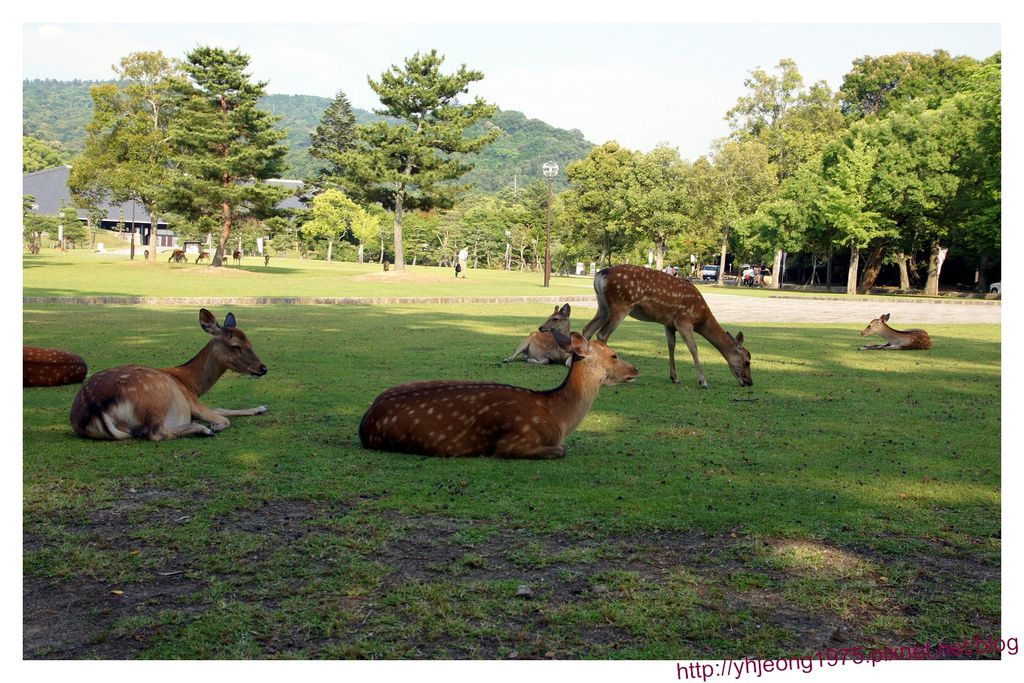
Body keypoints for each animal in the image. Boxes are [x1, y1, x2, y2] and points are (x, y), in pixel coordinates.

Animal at [68, 307, 268, 440]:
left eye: (250, 342)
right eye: (236, 346)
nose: (263, 368)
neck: (189, 384)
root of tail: (95, 408)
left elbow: (220, 408)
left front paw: (262, 407)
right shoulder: (192, 402)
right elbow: (223, 418)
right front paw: (214, 426)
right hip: (158, 399)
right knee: (155, 433)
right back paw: (203, 429)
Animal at [356, 329, 634, 458]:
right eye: (614, 355)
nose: (635, 369)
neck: (557, 416)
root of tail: (364, 422)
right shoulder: (514, 441)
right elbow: (561, 449)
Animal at [585, 264, 753, 387]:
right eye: (747, 361)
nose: (749, 382)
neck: (702, 318)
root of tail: (600, 275)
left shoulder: (669, 324)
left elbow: (671, 345)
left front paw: (674, 377)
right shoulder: (684, 321)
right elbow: (693, 348)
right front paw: (703, 381)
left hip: (603, 306)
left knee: (588, 329)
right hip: (621, 304)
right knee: (602, 333)